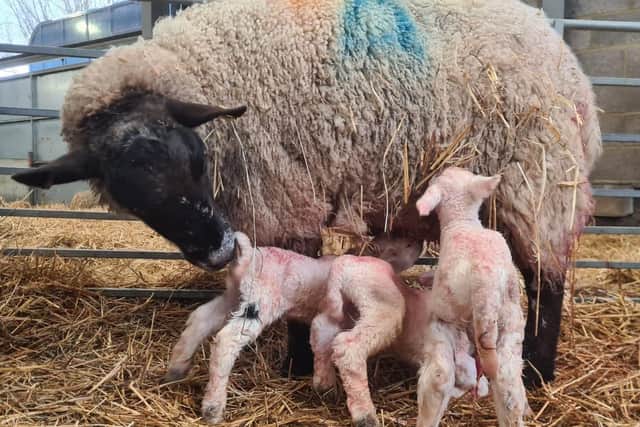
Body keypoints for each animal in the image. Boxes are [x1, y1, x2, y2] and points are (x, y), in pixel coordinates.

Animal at [11, 0, 602, 385]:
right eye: (129, 198)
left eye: (197, 161)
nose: (217, 250)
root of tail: (555, 44)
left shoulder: (288, 196)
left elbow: (299, 284)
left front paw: (294, 367)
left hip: (539, 185)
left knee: (547, 280)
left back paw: (538, 369)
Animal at [311, 256, 489, 427]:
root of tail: (342, 264)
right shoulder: (440, 344)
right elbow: (440, 378)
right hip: (382, 301)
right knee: (348, 347)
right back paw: (365, 415)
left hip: (343, 308)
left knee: (321, 330)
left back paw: (324, 385)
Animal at [414, 166, 529, 426]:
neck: (462, 220)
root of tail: (483, 282)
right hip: (511, 324)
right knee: (508, 385)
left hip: (445, 321)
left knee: (439, 379)